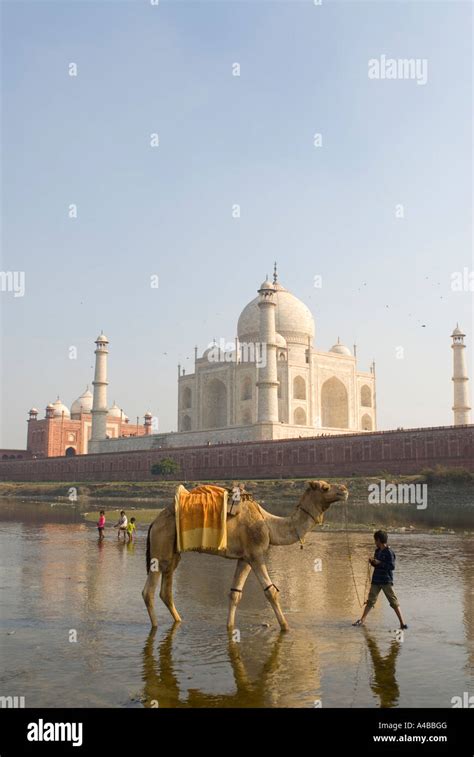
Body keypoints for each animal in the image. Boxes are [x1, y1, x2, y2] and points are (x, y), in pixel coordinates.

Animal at [142, 478, 348, 632]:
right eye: (325, 487)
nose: (344, 489)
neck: (269, 524)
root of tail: (154, 522)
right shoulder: (256, 553)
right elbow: (271, 591)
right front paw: (286, 627)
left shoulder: (244, 558)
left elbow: (235, 594)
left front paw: (230, 627)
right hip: (161, 545)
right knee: (148, 592)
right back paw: (155, 626)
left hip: (172, 553)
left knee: (166, 591)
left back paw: (179, 621)